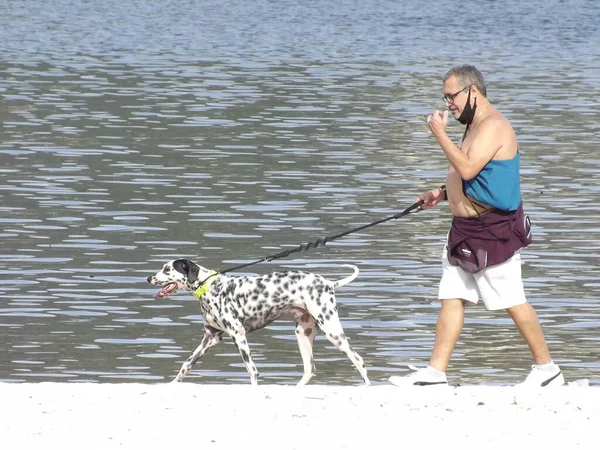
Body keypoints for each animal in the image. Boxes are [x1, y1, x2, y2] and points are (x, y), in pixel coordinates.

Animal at [146, 258, 370, 384]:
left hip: (333, 331)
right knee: (309, 370)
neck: (209, 287)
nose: (148, 278)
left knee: (358, 360)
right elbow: (186, 366)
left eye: (166, 269)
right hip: (303, 334)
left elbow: (252, 371)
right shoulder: (210, 338)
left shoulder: (238, 335)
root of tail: (329, 284)